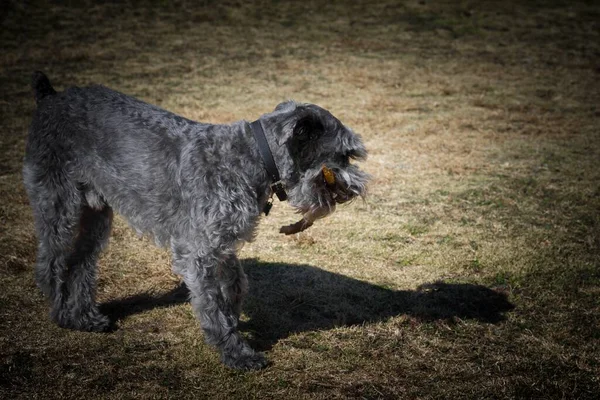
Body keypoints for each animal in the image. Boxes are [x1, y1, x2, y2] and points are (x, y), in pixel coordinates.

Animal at [23, 71, 368, 368]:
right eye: (346, 155)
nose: (357, 189)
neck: (253, 157)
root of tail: (50, 98)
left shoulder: (222, 242)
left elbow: (236, 284)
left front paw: (233, 320)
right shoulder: (199, 251)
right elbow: (212, 302)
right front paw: (235, 352)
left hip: (95, 216)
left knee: (80, 262)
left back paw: (84, 317)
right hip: (59, 204)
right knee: (51, 263)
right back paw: (64, 316)